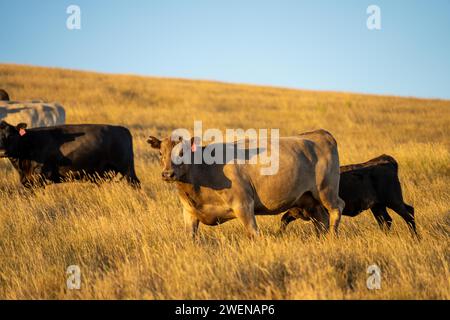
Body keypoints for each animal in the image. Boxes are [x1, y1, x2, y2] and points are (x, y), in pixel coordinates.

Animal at [282, 154, 418, 236]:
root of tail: (386, 160)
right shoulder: (295, 212)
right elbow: (284, 219)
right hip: (377, 206)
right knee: (386, 220)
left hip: (393, 201)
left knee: (408, 213)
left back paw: (415, 237)